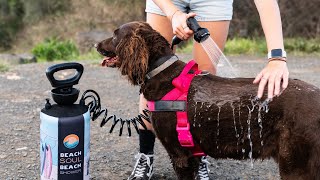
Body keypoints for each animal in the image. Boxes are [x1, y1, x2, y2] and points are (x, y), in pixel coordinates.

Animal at [95, 21, 320, 179]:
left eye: (114, 35)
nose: (95, 44)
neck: (163, 72)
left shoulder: (179, 154)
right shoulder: (191, 154)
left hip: (295, 163)